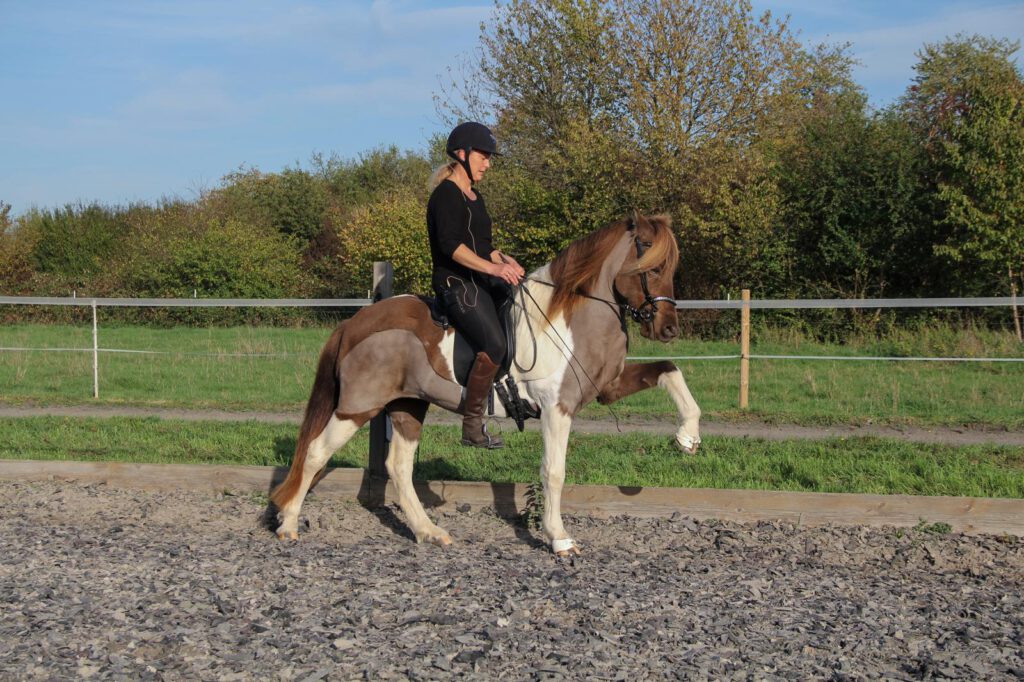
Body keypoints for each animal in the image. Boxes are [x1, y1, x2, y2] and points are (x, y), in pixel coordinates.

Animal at [270, 212, 702, 556]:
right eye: (651, 264)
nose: (668, 329)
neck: (568, 317)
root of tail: (355, 322)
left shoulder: (607, 387)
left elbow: (670, 371)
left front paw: (687, 438)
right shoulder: (557, 408)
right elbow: (554, 471)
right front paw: (559, 538)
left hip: (408, 405)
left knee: (398, 467)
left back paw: (430, 532)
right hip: (358, 407)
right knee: (316, 453)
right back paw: (288, 524)